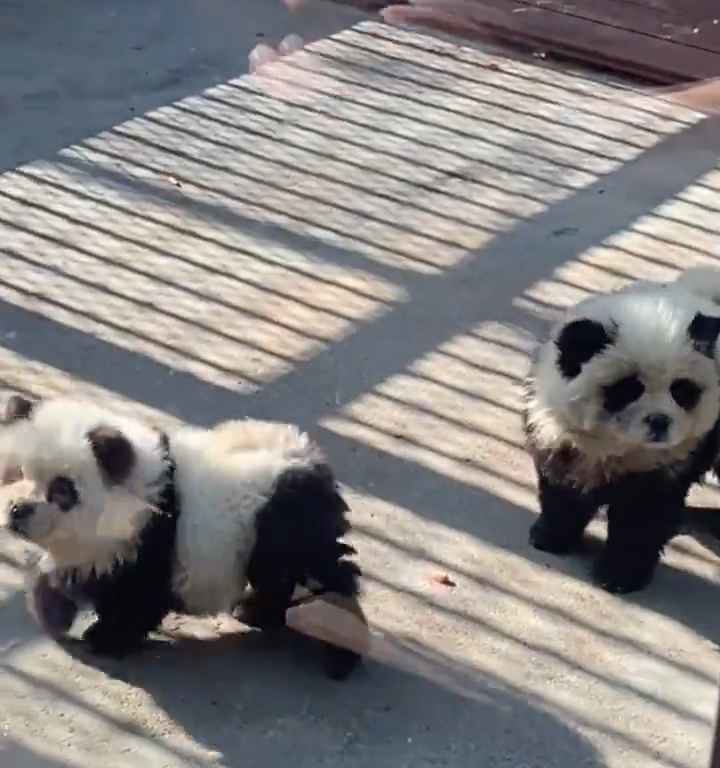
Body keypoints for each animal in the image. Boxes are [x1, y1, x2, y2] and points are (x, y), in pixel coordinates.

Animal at [0, 396, 362, 680]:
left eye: (61, 490)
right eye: (15, 473)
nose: (17, 510)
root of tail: (311, 460)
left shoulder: (149, 540)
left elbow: (137, 595)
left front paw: (107, 637)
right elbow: (69, 571)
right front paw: (51, 611)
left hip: (285, 524)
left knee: (323, 573)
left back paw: (341, 646)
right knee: (281, 580)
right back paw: (258, 612)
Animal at [524, 276, 720, 592]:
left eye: (681, 390)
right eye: (629, 388)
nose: (659, 422)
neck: (619, 447)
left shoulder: (671, 460)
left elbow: (642, 515)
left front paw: (619, 575)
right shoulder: (559, 431)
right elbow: (563, 488)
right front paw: (550, 536)